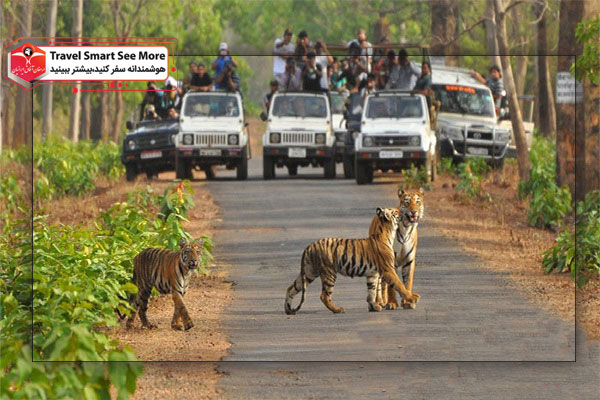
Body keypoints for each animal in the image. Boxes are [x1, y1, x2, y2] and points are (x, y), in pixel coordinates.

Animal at [284, 208, 418, 314]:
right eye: (395, 211)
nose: (402, 211)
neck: (387, 232)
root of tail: (310, 246)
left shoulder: (372, 274)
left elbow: (372, 291)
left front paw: (373, 307)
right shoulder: (388, 270)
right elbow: (399, 285)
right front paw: (412, 298)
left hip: (309, 272)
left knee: (291, 288)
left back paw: (288, 310)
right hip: (329, 273)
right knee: (324, 296)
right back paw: (338, 310)